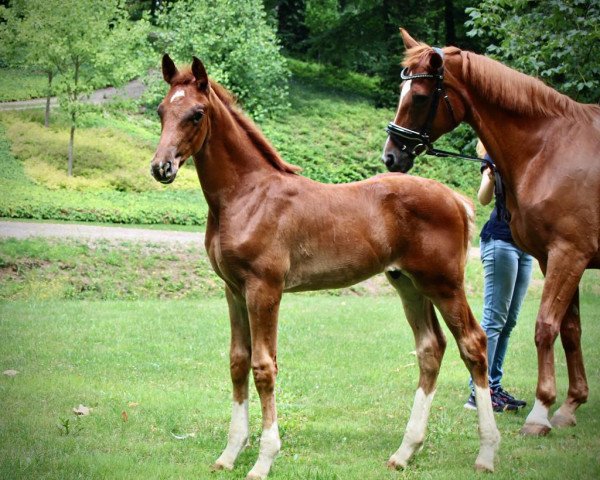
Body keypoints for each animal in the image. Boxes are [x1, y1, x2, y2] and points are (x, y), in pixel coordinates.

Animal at [151, 54, 502, 478]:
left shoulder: (264, 289)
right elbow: (238, 362)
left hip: (444, 283)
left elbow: (263, 367)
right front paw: (230, 453)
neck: (247, 196)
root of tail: (455, 199)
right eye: (161, 111)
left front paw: (264, 459)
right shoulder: (233, 289)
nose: (162, 167)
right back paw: (405, 451)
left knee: (474, 344)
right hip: (408, 283)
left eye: (197, 113)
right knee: (431, 348)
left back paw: (486, 452)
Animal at [384, 28, 600, 436]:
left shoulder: (570, 253)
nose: (390, 156)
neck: (551, 148)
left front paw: (541, 411)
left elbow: (546, 326)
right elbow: (571, 329)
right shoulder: (553, 258)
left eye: (418, 97)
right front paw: (570, 405)